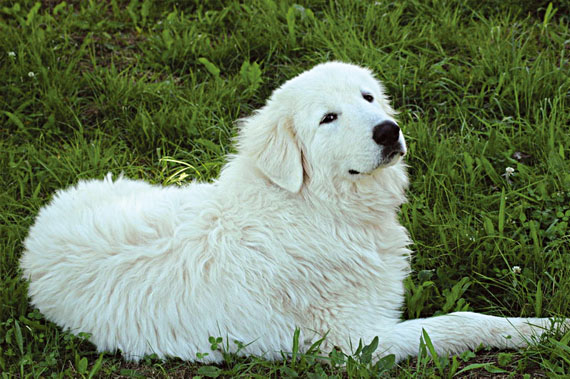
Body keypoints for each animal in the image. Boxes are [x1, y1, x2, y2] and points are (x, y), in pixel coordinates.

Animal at [21, 61, 556, 362]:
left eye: (367, 97)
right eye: (328, 118)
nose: (388, 130)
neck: (314, 207)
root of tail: (37, 233)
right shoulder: (358, 343)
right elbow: (463, 321)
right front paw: (547, 330)